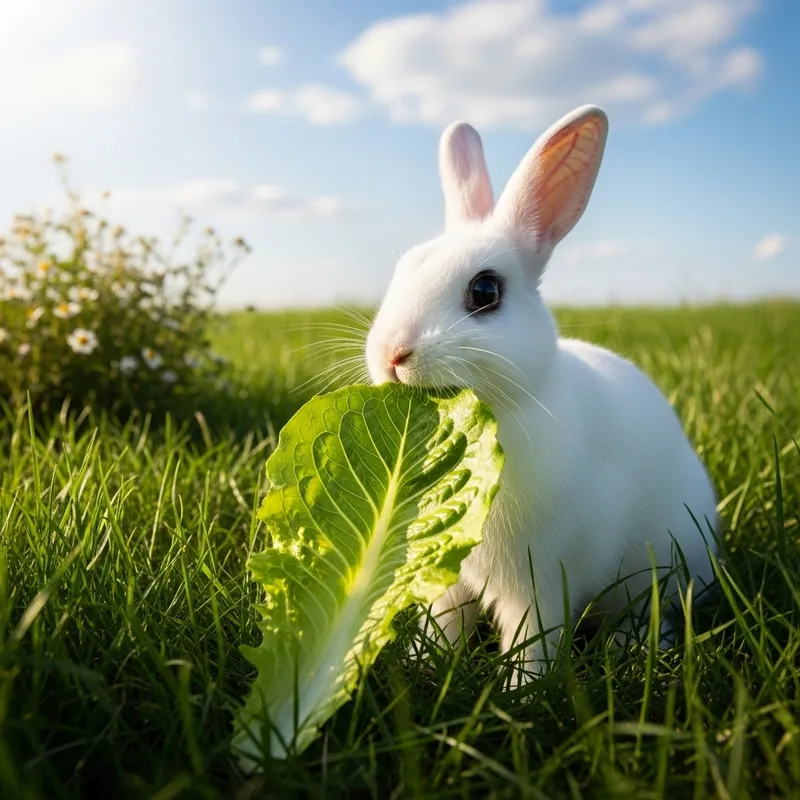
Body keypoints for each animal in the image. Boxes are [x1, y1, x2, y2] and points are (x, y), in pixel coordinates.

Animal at [365, 105, 718, 686]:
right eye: (401, 272)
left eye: (485, 292)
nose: (392, 355)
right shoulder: (448, 579)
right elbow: (445, 626)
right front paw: (426, 663)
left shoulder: (541, 579)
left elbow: (533, 637)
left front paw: (521, 692)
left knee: (652, 613)